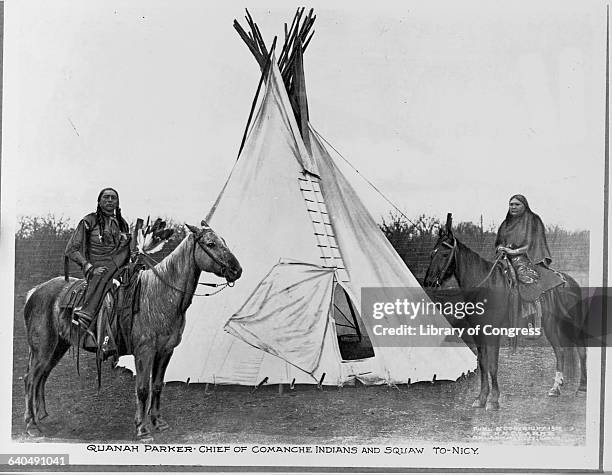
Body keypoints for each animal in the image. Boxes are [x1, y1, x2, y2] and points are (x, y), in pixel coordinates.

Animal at [22, 221, 241, 440]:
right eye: (211, 243)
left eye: (224, 241)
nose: (237, 270)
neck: (160, 295)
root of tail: (35, 291)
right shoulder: (144, 352)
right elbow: (142, 389)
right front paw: (142, 429)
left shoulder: (165, 351)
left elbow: (157, 386)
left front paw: (158, 422)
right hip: (43, 348)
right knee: (31, 379)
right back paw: (32, 425)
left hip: (58, 347)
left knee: (42, 376)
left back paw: (41, 416)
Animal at [424, 218, 584, 410]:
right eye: (431, 254)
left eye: (444, 254)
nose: (429, 282)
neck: (486, 287)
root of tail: (571, 281)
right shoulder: (479, 333)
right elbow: (483, 364)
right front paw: (481, 398)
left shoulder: (494, 332)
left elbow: (493, 365)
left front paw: (493, 400)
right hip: (551, 325)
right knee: (560, 351)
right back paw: (556, 388)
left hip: (570, 325)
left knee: (581, 351)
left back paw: (581, 389)